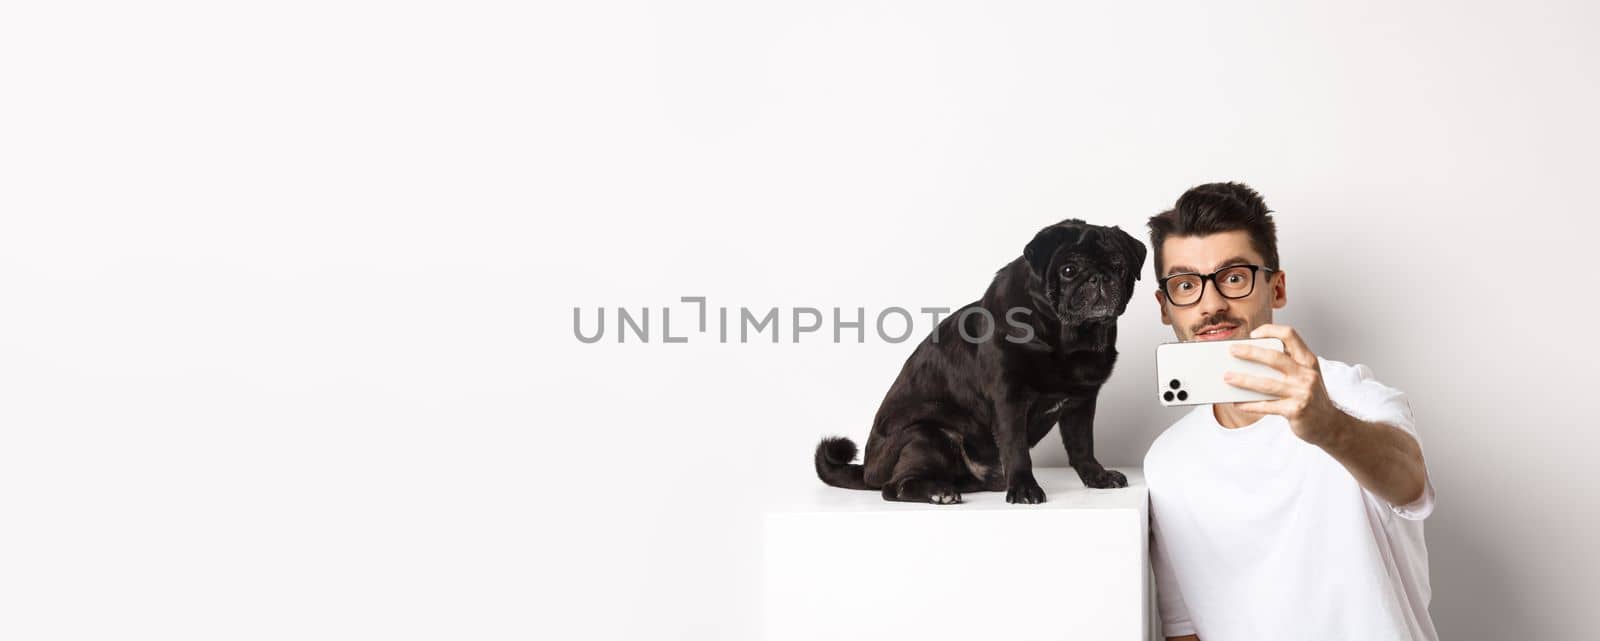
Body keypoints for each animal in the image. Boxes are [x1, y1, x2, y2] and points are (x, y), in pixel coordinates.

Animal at [819, 220, 1145, 505]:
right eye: (1068, 270)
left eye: (1119, 266)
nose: (1099, 277)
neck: (1068, 340)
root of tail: (868, 469)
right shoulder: (1009, 400)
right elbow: (1017, 449)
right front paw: (1024, 488)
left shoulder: (1081, 402)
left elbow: (1082, 446)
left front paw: (1097, 477)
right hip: (928, 434)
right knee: (894, 486)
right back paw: (938, 492)